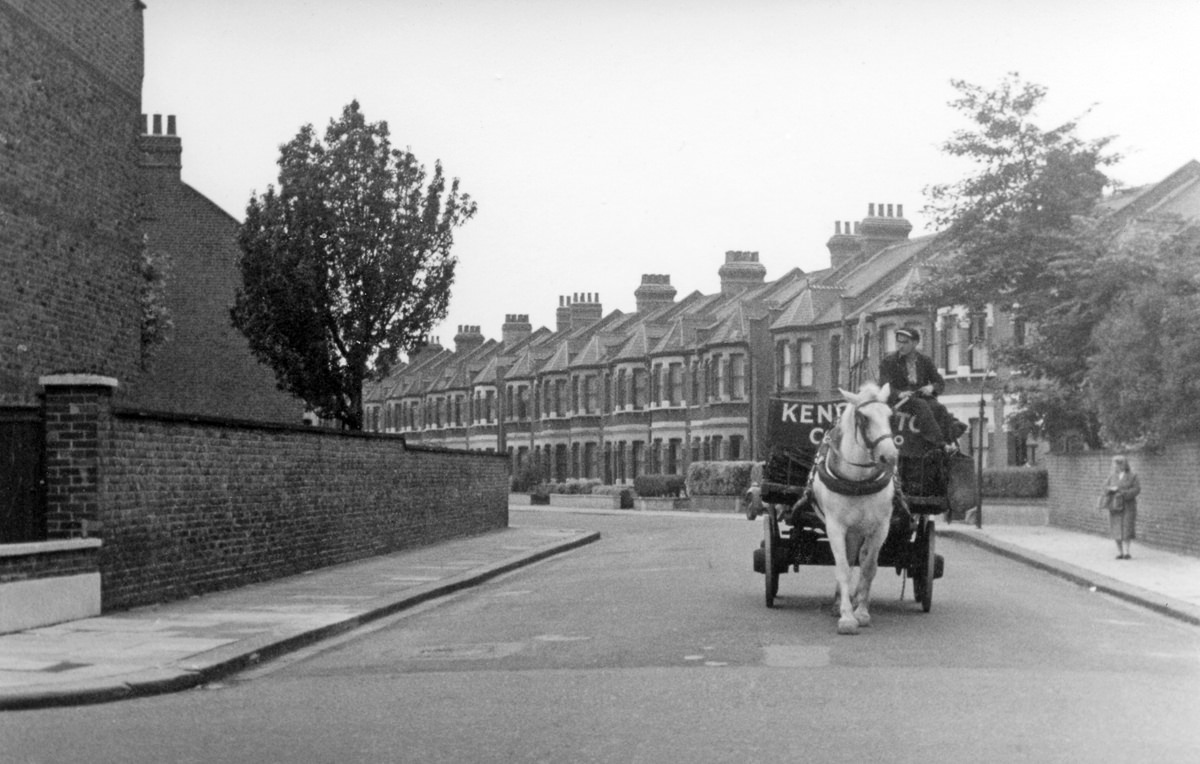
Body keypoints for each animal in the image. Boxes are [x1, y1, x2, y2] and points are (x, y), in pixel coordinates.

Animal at [811, 383, 897, 633]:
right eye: (864, 418)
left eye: (890, 416)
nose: (890, 456)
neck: (858, 481)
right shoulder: (835, 526)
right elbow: (842, 568)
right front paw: (847, 617)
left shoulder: (880, 527)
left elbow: (868, 568)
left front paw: (861, 612)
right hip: (849, 531)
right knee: (848, 561)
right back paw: (839, 602)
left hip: (859, 531)